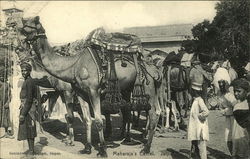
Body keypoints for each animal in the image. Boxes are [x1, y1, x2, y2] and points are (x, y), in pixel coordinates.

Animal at [17, 16, 162, 157]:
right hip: (131, 89)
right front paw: (86, 148)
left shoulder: (92, 90)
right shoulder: (81, 92)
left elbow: (97, 120)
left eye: (27, 28)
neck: (74, 65)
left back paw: (146, 148)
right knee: (140, 111)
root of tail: (155, 69)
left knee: (152, 114)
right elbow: (87, 119)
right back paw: (133, 140)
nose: (19, 44)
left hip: (148, 88)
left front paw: (102, 150)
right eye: (23, 26)